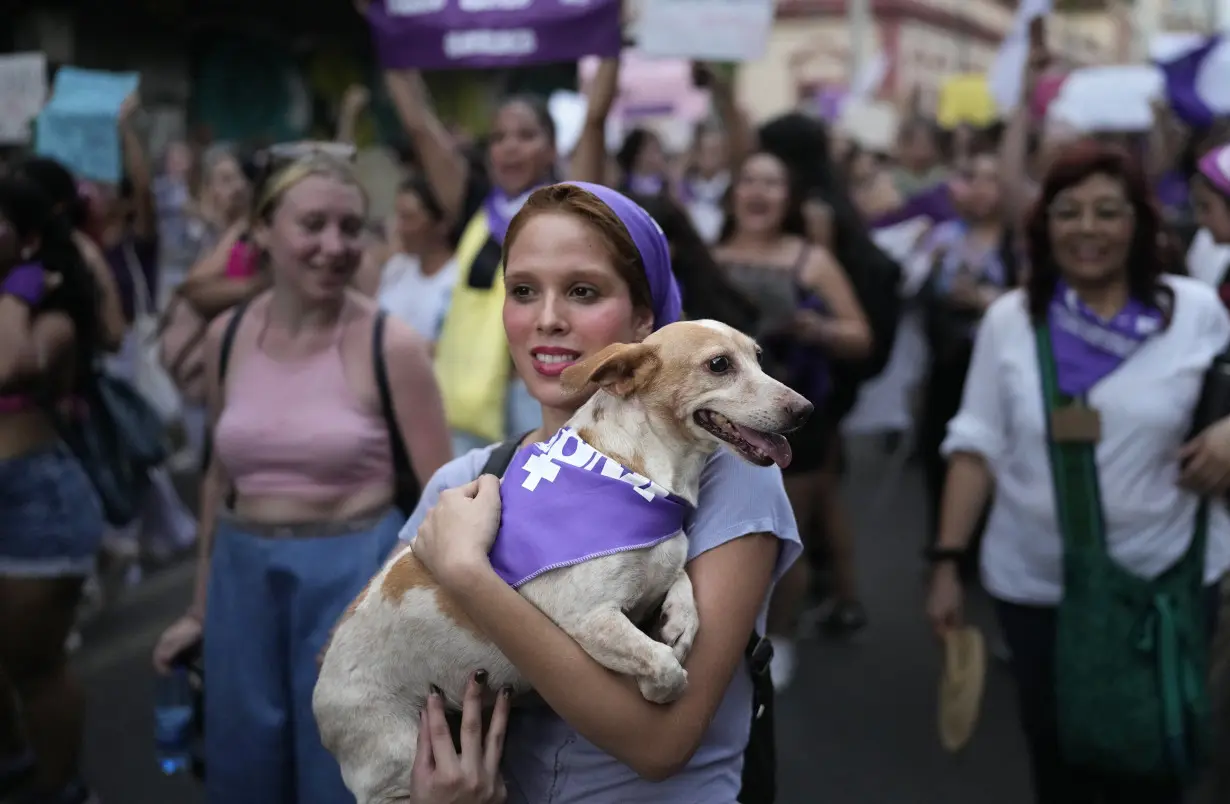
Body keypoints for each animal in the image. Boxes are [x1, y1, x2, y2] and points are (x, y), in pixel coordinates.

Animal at [312, 322, 811, 804]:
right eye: (720, 364)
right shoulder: (589, 618)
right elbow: (663, 664)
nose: (805, 409)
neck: (634, 474)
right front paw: (660, 686)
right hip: (398, 759)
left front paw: (679, 620)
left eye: (759, 357)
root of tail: (319, 683)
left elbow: (681, 577)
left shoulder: (662, 563)